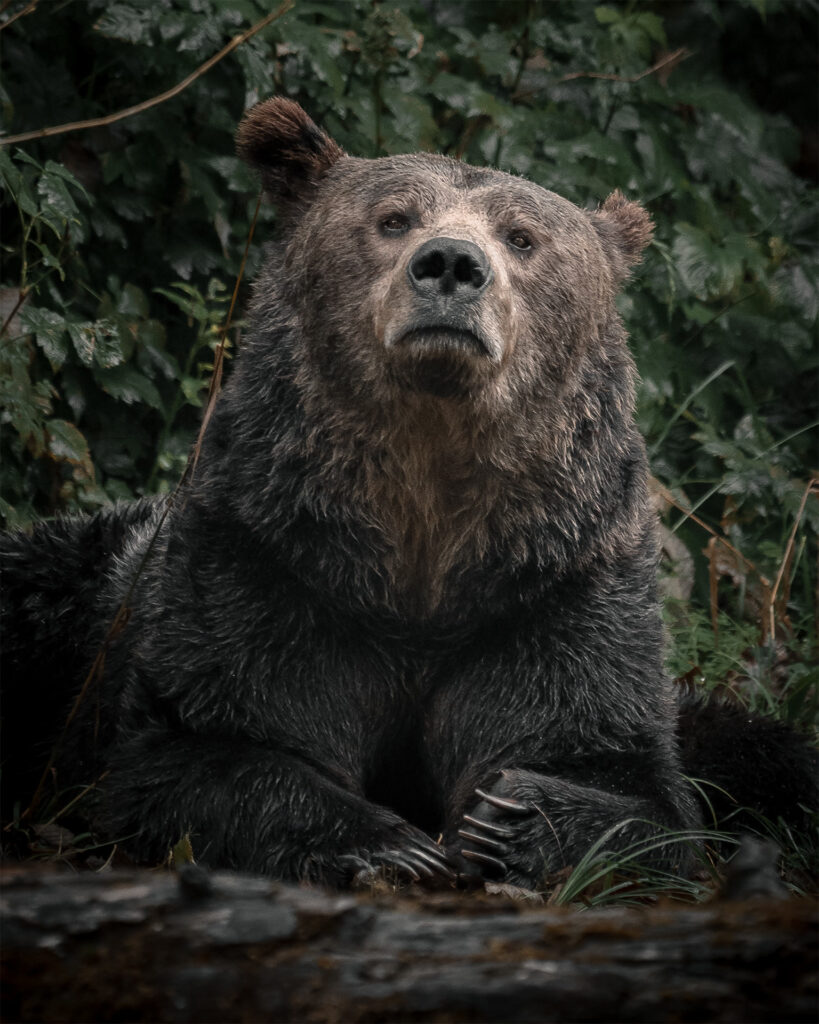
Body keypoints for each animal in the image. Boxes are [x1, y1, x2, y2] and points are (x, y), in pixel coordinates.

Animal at [1, 98, 815, 888]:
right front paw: (388, 845)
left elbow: (624, 778)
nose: (451, 264)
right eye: (393, 218)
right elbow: (200, 741)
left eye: (522, 237)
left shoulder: (556, 585)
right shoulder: (270, 556)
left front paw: (505, 821)